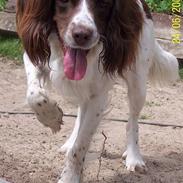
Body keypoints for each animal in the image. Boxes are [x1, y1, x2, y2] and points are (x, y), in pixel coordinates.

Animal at [16, 0, 179, 182]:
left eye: (104, 3)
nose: (81, 35)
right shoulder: (34, 54)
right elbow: (34, 95)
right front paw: (51, 117)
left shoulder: (98, 97)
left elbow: (80, 146)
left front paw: (69, 177)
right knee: (81, 110)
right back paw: (69, 141)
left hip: (138, 83)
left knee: (133, 120)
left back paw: (134, 157)